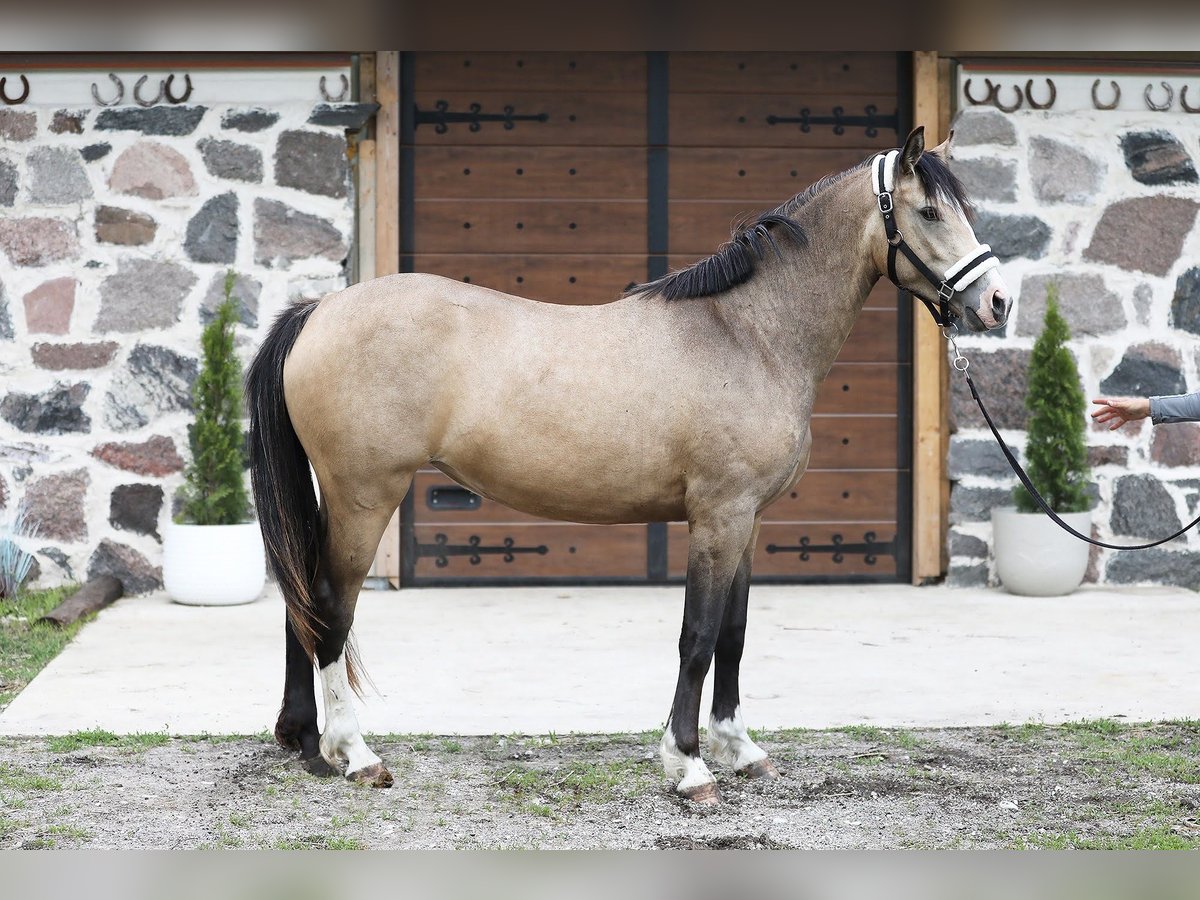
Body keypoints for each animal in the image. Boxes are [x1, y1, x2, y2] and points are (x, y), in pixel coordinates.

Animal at [246, 125, 1012, 801]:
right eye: (928, 211)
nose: (998, 302)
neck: (746, 335)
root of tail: (319, 310)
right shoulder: (717, 516)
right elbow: (697, 637)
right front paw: (689, 766)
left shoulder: (748, 521)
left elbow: (733, 633)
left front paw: (740, 749)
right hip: (365, 494)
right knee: (331, 603)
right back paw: (355, 753)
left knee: (303, 599)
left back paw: (305, 742)